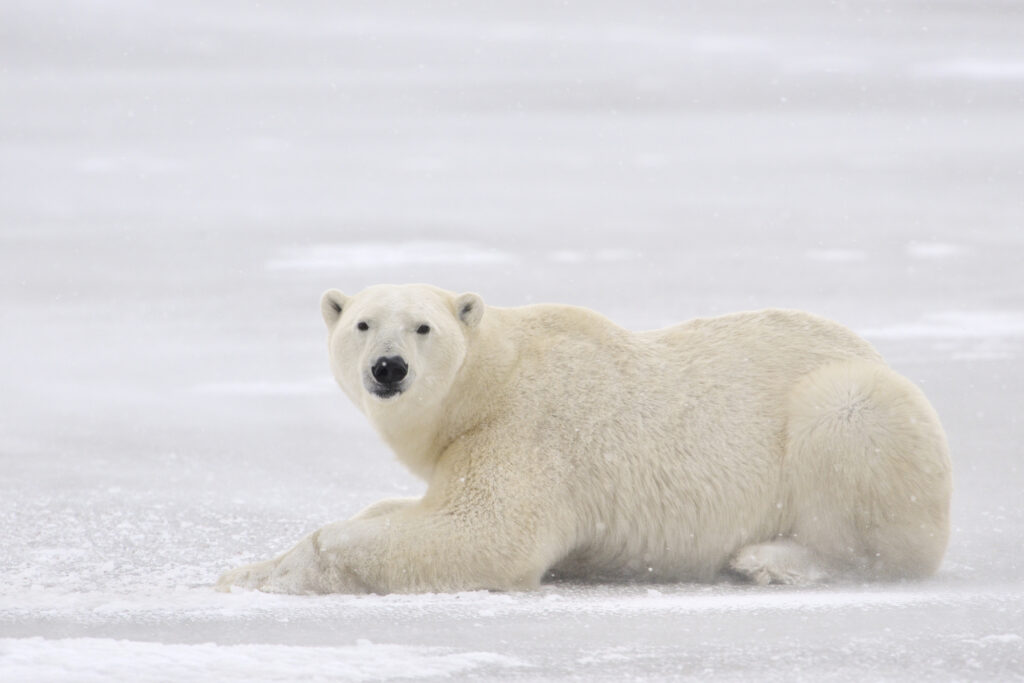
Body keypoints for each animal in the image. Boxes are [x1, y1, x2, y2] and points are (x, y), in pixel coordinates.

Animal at [216, 284, 952, 594]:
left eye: (423, 327)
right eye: (362, 324)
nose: (388, 368)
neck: (493, 377)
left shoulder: (528, 431)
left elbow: (486, 535)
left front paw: (267, 574)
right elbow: (398, 510)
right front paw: (250, 565)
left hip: (857, 408)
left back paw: (769, 559)